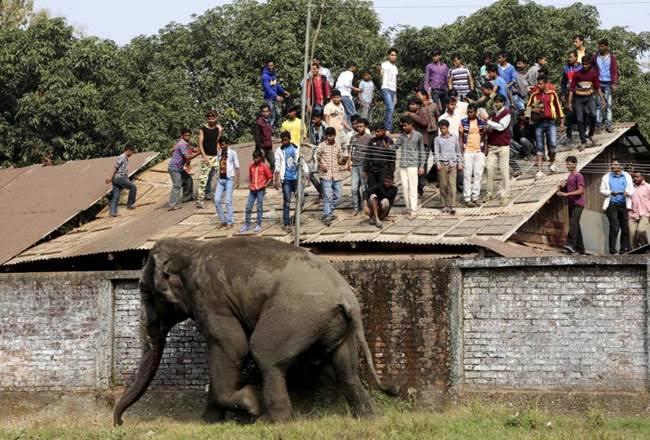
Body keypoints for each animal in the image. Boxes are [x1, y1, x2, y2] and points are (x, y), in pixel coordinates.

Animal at [113, 236, 398, 425]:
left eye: (145, 291)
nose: (120, 423)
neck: (191, 246)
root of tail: (346, 296)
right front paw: (208, 423)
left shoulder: (209, 297)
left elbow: (232, 347)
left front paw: (249, 404)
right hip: (333, 324)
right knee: (343, 369)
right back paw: (368, 419)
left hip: (294, 314)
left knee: (265, 355)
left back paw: (278, 423)